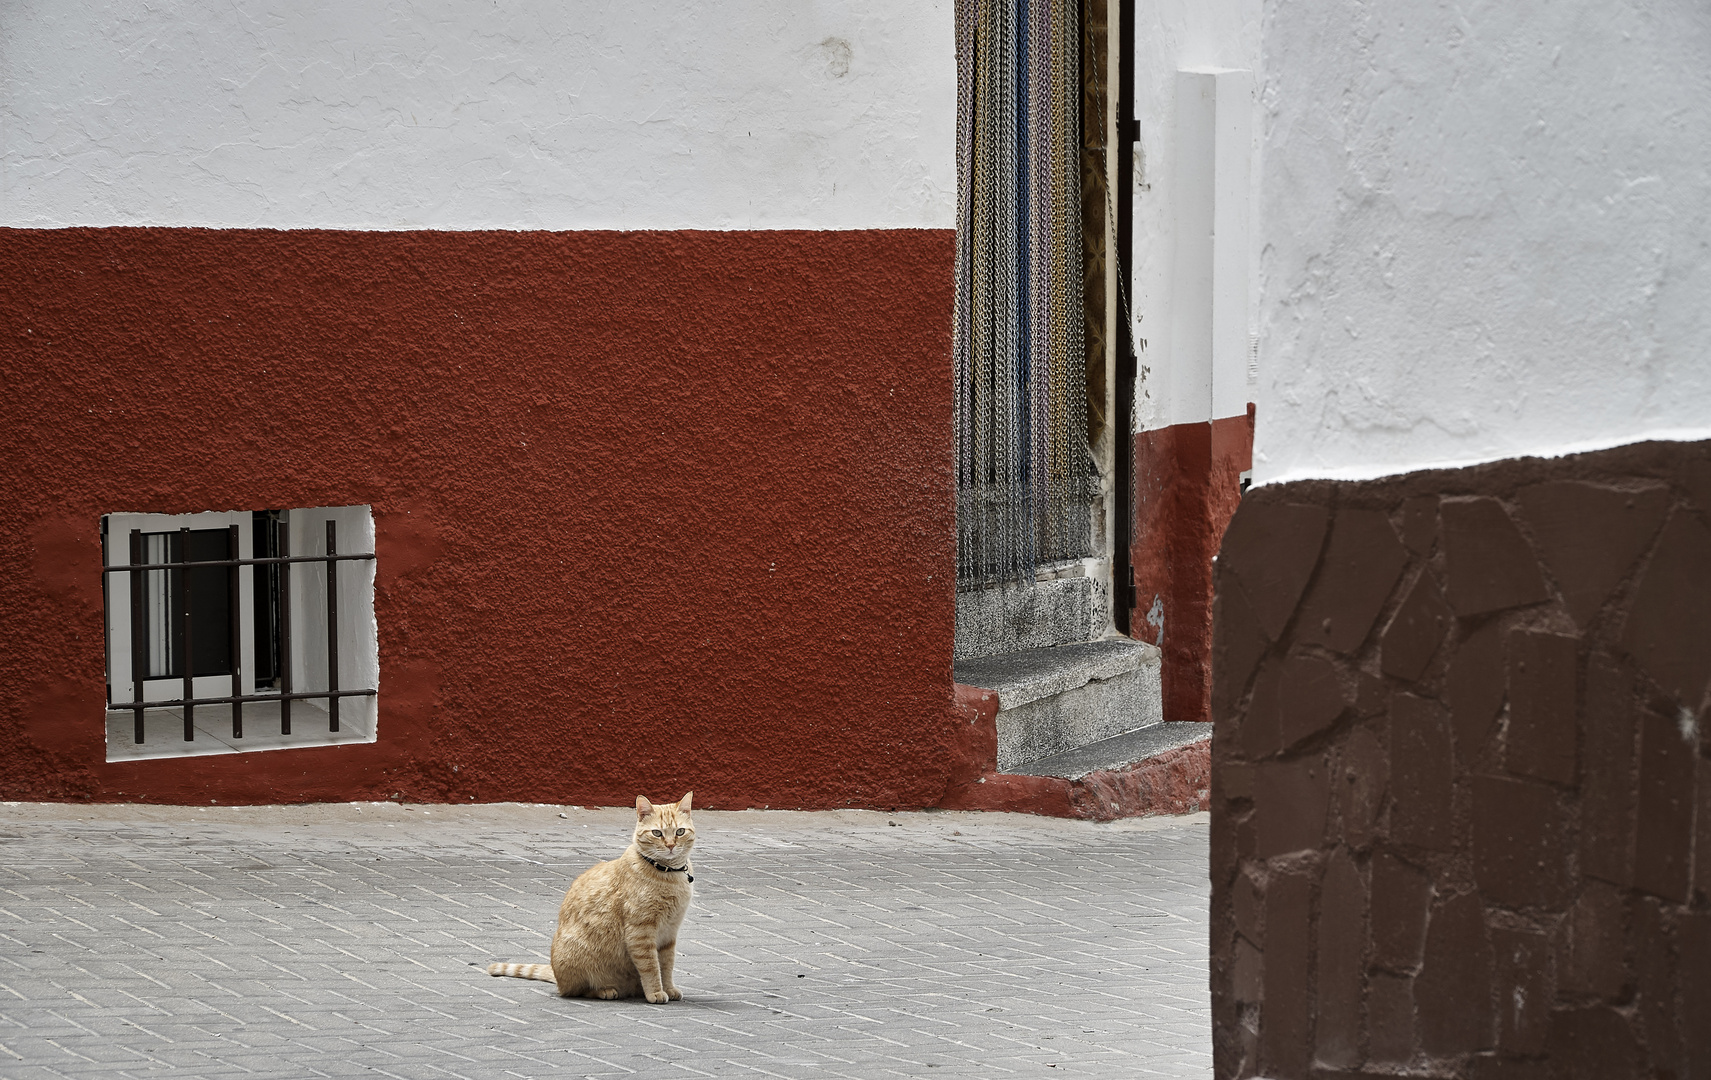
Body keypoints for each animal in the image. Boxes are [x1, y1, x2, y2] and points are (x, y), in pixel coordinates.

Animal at [489, 790, 694, 999]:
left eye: (679, 832)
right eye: (657, 833)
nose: (670, 845)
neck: (669, 875)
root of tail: (557, 976)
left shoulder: (669, 933)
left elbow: (666, 966)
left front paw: (668, 988)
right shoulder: (640, 932)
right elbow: (651, 966)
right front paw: (656, 992)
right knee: (578, 990)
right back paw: (605, 990)